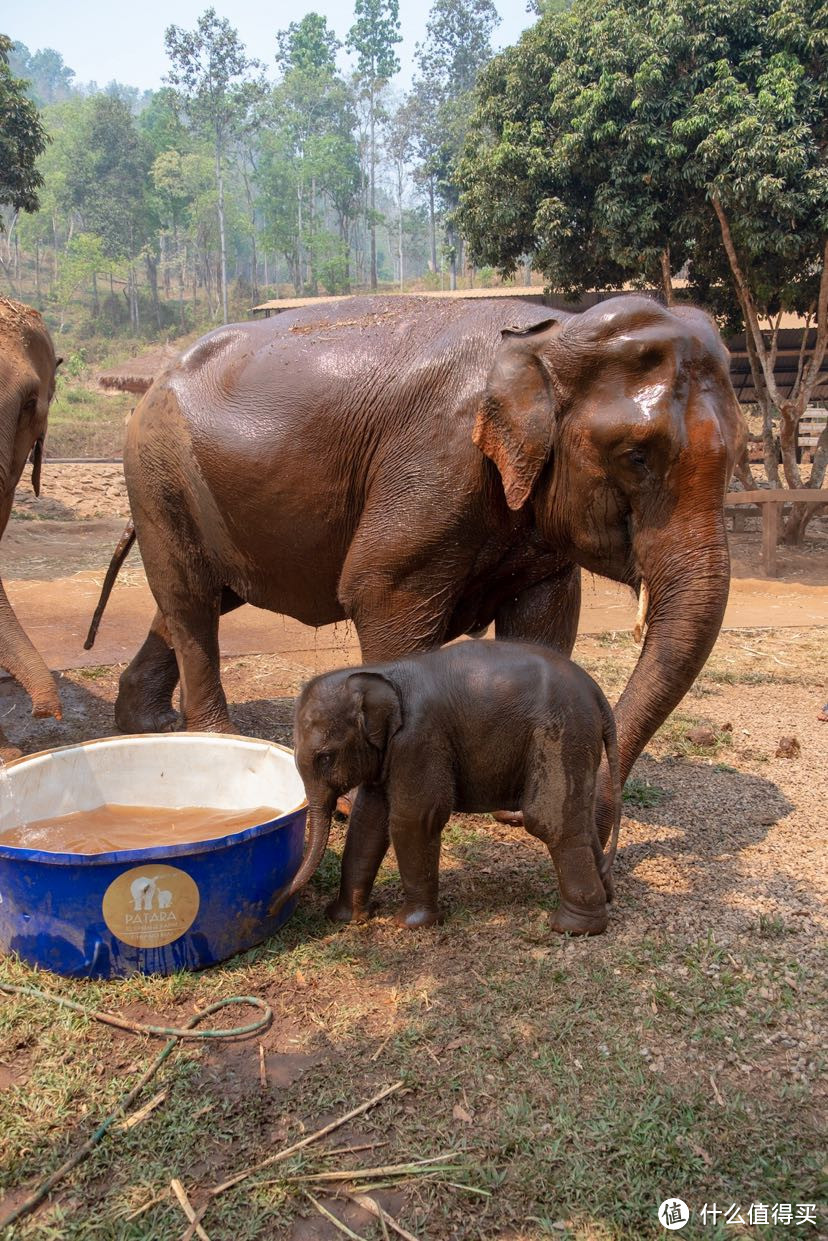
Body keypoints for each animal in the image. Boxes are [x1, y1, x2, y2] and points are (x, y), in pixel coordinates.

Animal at [89, 294, 744, 838]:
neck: (552, 334)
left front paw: (516, 803)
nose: (602, 822)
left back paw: (148, 724)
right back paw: (214, 739)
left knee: (195, 601)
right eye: (636, 456)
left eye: (739, 455)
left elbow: (546, 619)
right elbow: (380, 594)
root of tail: (152, 379)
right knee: (192, 601)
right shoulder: (434, 464)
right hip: (158, 474)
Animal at [281, 640, 618, 933]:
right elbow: (368, 820)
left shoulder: (419, 740)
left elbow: (415, 818)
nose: (279, 900)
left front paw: (410, 924)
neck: (381, 673)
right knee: (579, 819)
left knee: (550, 821)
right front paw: (348, 918)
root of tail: (595, 692)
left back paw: (573, 928)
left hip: (562, 734)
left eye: (325, 757)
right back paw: (606, 897)